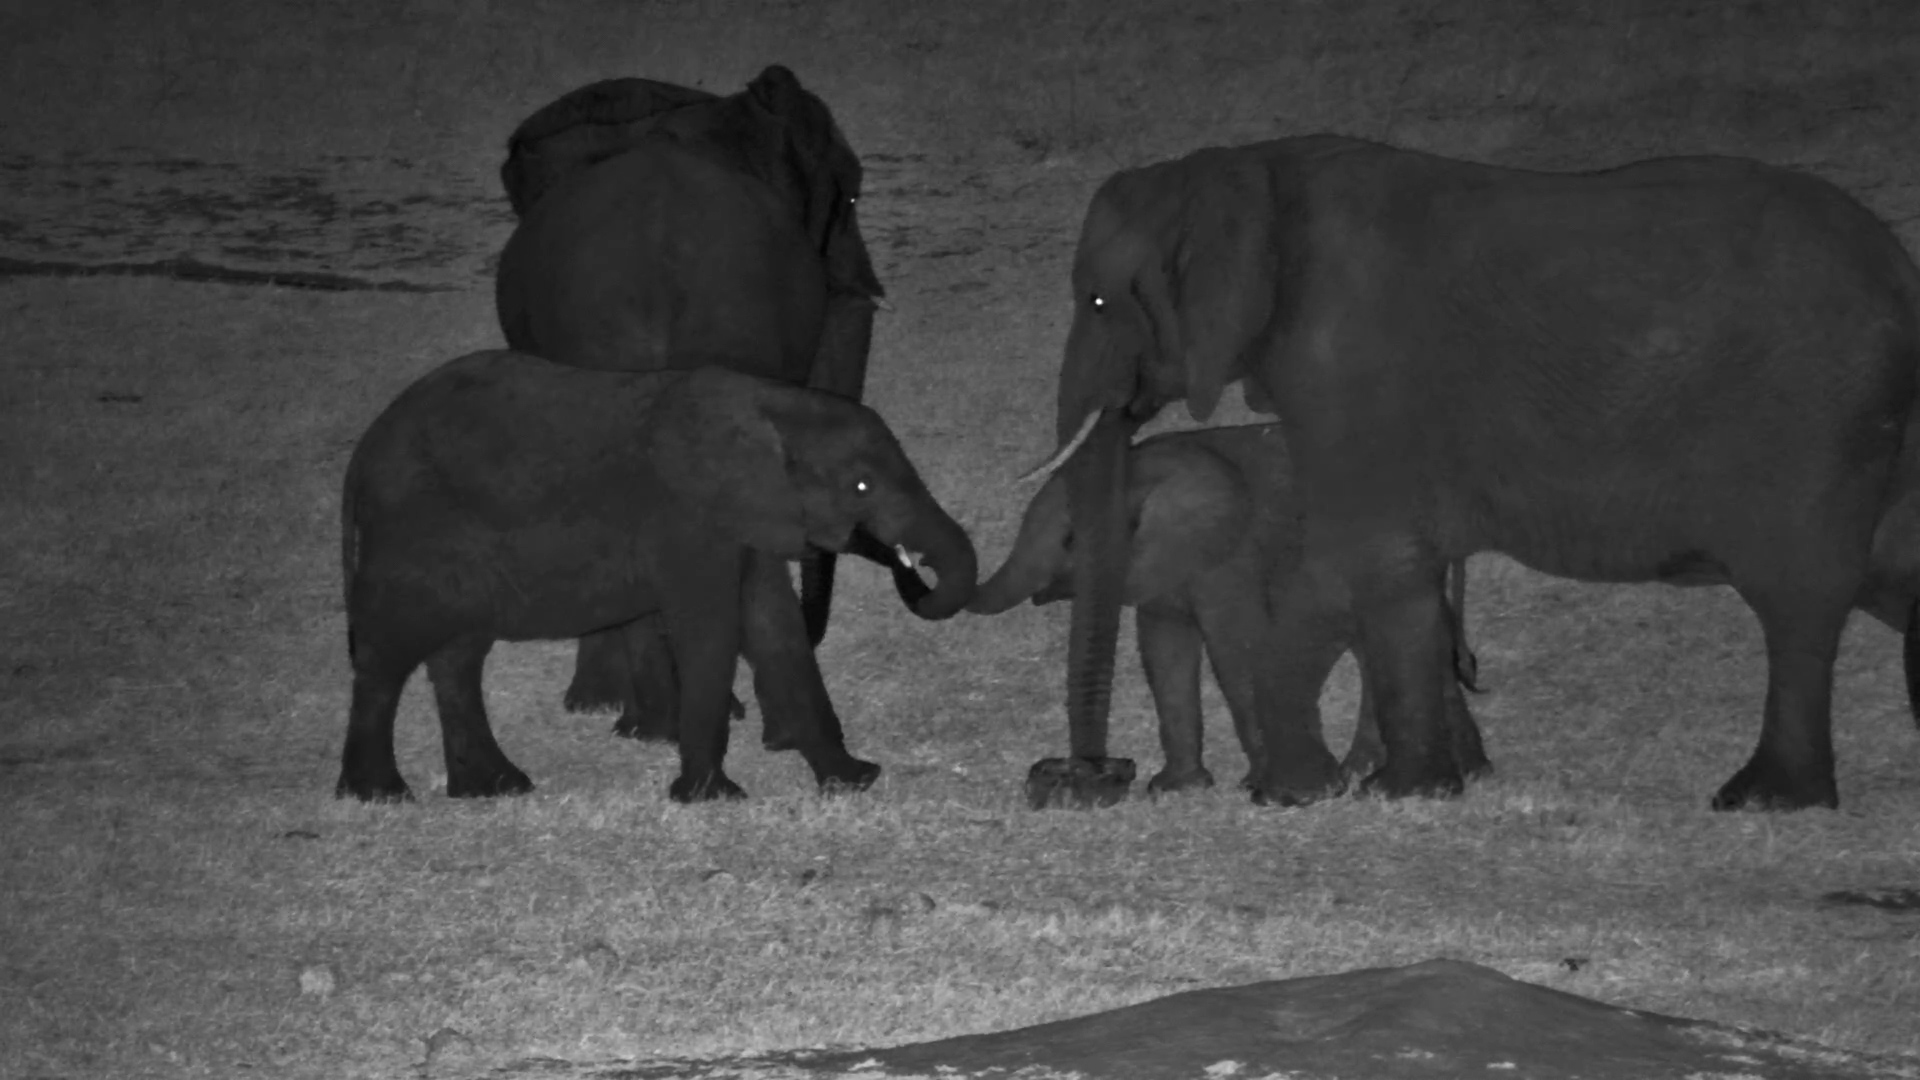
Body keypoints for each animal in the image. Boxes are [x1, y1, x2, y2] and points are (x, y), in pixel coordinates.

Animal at [337, 350, 977, 804]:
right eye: (863, 486)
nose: (912, 565)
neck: (770, 402)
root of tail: (362, 453)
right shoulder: (688, 519)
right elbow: (712, 629)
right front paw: (713, 798)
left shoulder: (746, 519)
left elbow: (776, 628)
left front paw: (854, 781)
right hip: (412, 536)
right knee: (390, 652)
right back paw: (380, 796)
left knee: (457, 656)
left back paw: (494, 789)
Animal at [970, 423, 1486, 799]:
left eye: (1068, 539)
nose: (1092, 770)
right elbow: (1163, 651)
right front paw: (1177, 791)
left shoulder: (1231, 558)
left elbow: (1234, 647)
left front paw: (1259, 787)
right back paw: (1399, 770)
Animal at [1036, 134, 1920, 811]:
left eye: (1101, 302)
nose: (1094, 777)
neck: (1251, 173)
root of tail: (1900, 270)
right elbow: (1402, 573)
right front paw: (1433, 781)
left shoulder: (1351, 364)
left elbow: (1367, 561)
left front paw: (1373, 790)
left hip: (1816, 420)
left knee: (1798, 602)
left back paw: (1763, 800)